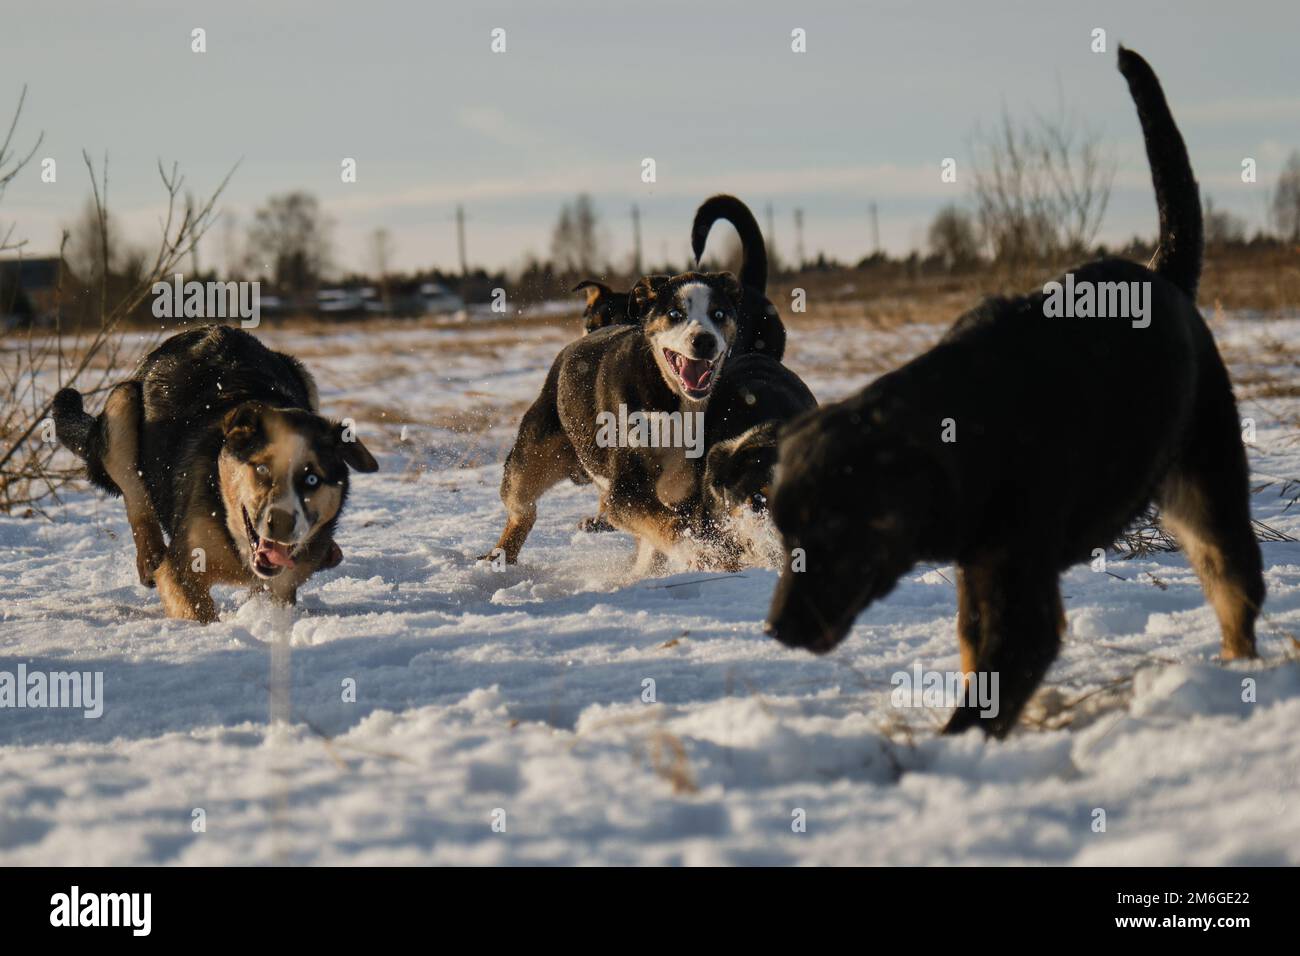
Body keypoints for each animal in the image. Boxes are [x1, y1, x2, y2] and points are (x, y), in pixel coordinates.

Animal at [480, 270, 748, 574]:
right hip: (530, 458)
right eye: (674, 313)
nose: (704, 340)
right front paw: (704, 553)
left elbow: (664, 532)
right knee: (522, 509)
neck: (674, 400)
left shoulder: (685, 488)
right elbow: (671, 525)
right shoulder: (626, 491)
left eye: (718, 313)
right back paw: (499, 556)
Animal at [764, 46, 1263, 738]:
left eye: (835, 527)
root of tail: (1164, 276)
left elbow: (983, 700)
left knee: (1235, 590)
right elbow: (976, 659)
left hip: (1207, 493)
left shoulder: (1018, 591)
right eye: (782, 532)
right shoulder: (979, 569)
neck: (969, 426)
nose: (776, 629)